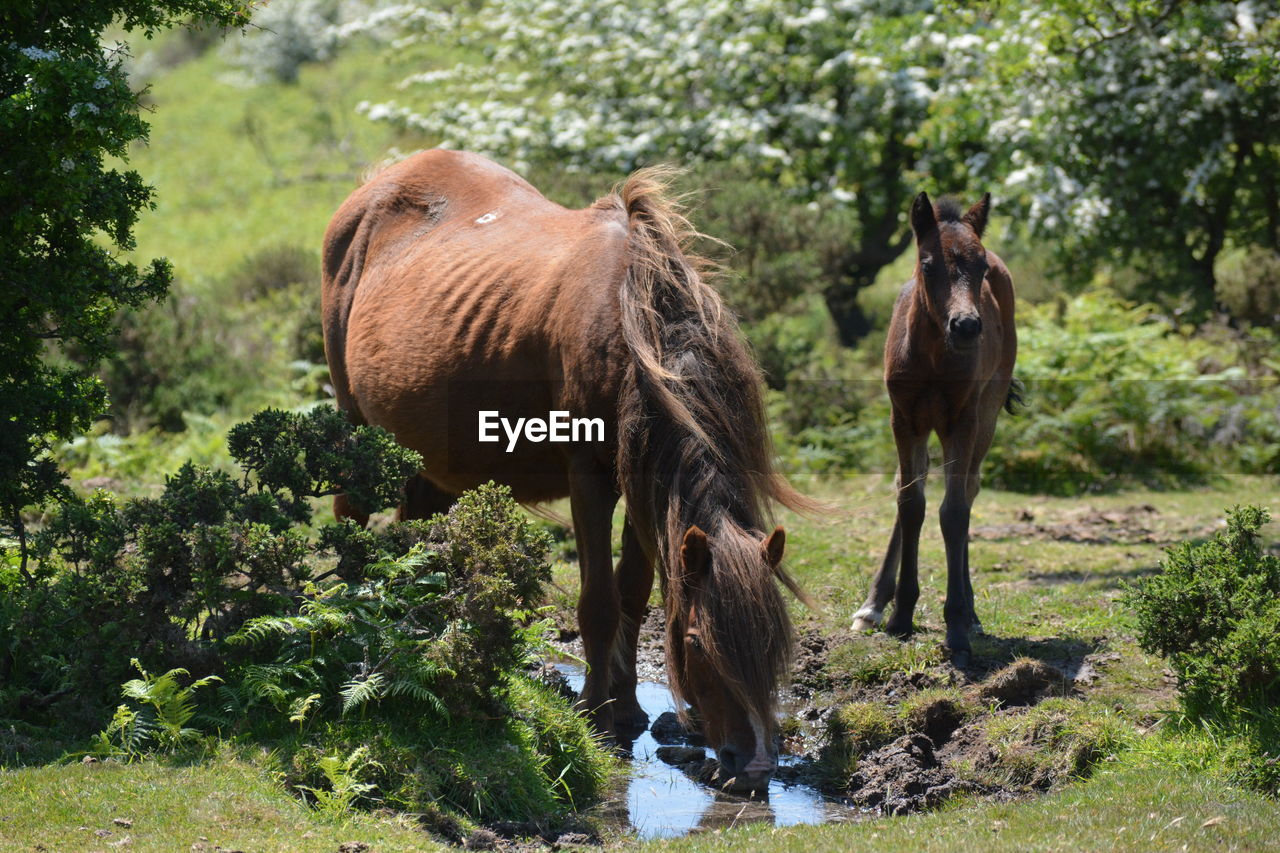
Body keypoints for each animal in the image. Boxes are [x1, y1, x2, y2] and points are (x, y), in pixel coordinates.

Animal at [320, 149, 808, 788]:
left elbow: (633, 594)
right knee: (351, 515)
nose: (752, 768)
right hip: (356, 423)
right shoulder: (590, 478)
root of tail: (379, 181)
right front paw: (597, 714)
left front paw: (628, 707)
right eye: (699, 643)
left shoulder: (641, 480)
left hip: (434, 455)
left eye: (777, 646)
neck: (633, 327)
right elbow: (598, 602)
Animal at [849, 192, 1018, 666]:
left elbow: (953, 512)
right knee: (913, 485)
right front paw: (898, 616)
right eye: (927, 265)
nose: (967, 326)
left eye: (980, 268)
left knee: (969, 490)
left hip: (987, 415)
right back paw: (873, 604)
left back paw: (972, 611)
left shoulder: (963, 420)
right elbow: (911, 504)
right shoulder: (903, 419)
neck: (931, 358)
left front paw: (957, 624)